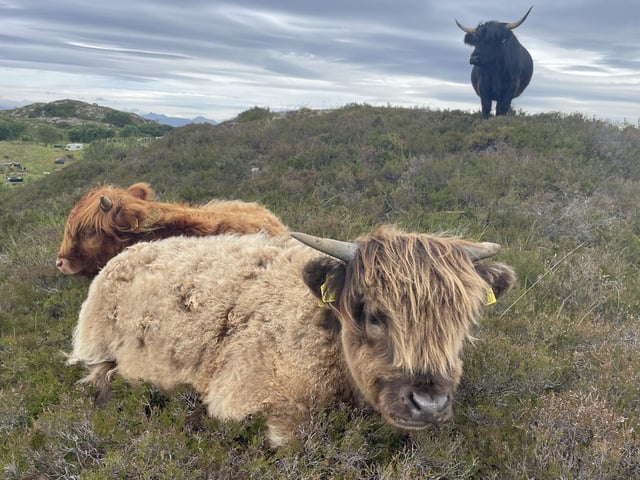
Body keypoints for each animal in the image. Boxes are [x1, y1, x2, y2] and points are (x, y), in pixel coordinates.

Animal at [66, 226, 516, 446]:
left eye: (462, 319)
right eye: (373, 315)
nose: (429, 403)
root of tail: (125, 253)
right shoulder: (251, 401)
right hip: (93, 342)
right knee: (95, 374)